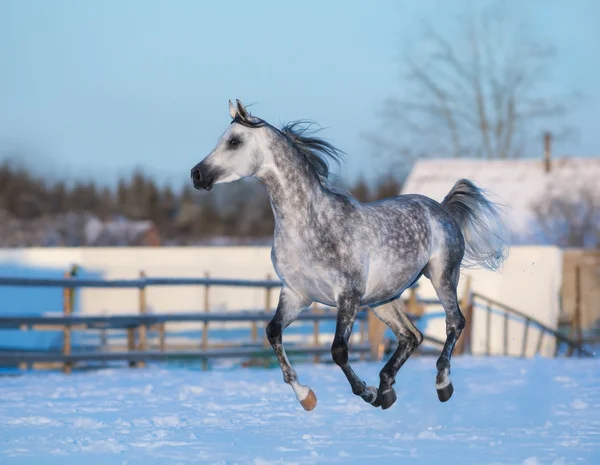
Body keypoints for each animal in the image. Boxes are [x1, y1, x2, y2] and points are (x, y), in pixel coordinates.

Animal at [190, 100, 508, 410]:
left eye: (234, 141)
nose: (197, 174)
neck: (310, 227)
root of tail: (441, 208)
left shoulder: (349, 297)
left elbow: (339, 351)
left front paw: (366, 392)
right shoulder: (296, 294)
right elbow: (273, 332)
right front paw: (306, 397)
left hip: (442, 275)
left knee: (454, 323)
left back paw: (441, 384)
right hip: (382, 299)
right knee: (411, 336)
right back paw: (386, 388)